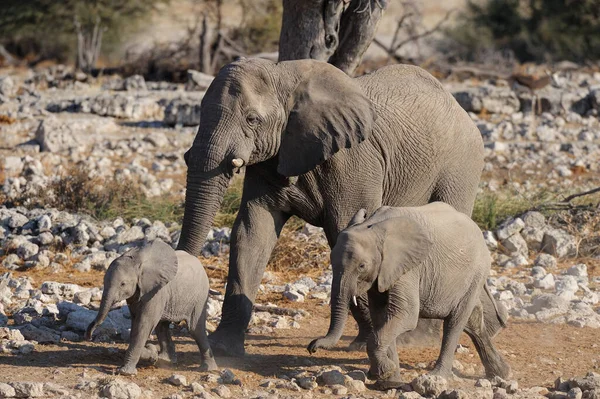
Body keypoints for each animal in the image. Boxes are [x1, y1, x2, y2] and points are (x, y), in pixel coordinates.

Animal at [84, 241, 216, 376]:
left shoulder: (156, 291)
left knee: (195, 329)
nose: (89, 336)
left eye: (123, 284)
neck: (137, 262)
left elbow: (143, 324)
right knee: (162, 326)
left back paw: (207, 369)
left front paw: (127, 371)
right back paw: (166, 360)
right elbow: (136, 323)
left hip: (200, 296)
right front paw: (152, 354)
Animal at [177, 57, 482, 356]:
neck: (282, 75)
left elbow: (344, 230)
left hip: (461, 165)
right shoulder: (269, 160)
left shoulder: (352, 162)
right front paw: (224, 348)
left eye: (252, 120)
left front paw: (367, 342)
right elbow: (251, 234)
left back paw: (417, 339)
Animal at [310, 203, 510, 388]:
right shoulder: (383, 273)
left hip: (477, 271)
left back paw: (437, 377)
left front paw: (382, 374)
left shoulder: (408, 268)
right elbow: (382, 318)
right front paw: (389, 381)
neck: (373, 227)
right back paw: (502, 373)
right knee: (472, 320)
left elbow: (405, 315)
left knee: (455, 322)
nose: (312, 347)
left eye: (362, 266)